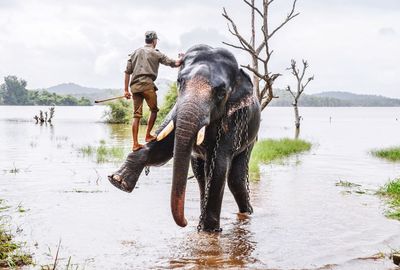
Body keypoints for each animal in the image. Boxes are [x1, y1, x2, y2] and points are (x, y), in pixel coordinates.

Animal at [108, 44, 260, 232]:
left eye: (221, 92)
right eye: (180, 81)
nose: (185, 222)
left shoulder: (232, 120)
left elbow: (218, 167)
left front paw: (210, 230)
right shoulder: (177, 109)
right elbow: (164, 149)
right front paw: (118, 181)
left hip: (251, 139)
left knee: (234, 179)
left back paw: (246, 214)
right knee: (201, 175)